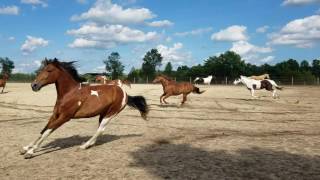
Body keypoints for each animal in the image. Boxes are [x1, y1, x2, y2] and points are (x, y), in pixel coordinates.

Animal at [20, 58, 148, 158]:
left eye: (49, 70)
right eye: (41, 70)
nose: (34, 85)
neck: (69, 94)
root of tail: (124, 93)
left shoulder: (64, 117)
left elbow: (47, 131)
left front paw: (30, 152)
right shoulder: (55, 115)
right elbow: (43, 130)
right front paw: (26, 147)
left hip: (111, 113)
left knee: (101, 129)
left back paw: (84, 146)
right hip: (103, 113)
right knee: (99, 129)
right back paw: (89, 144)